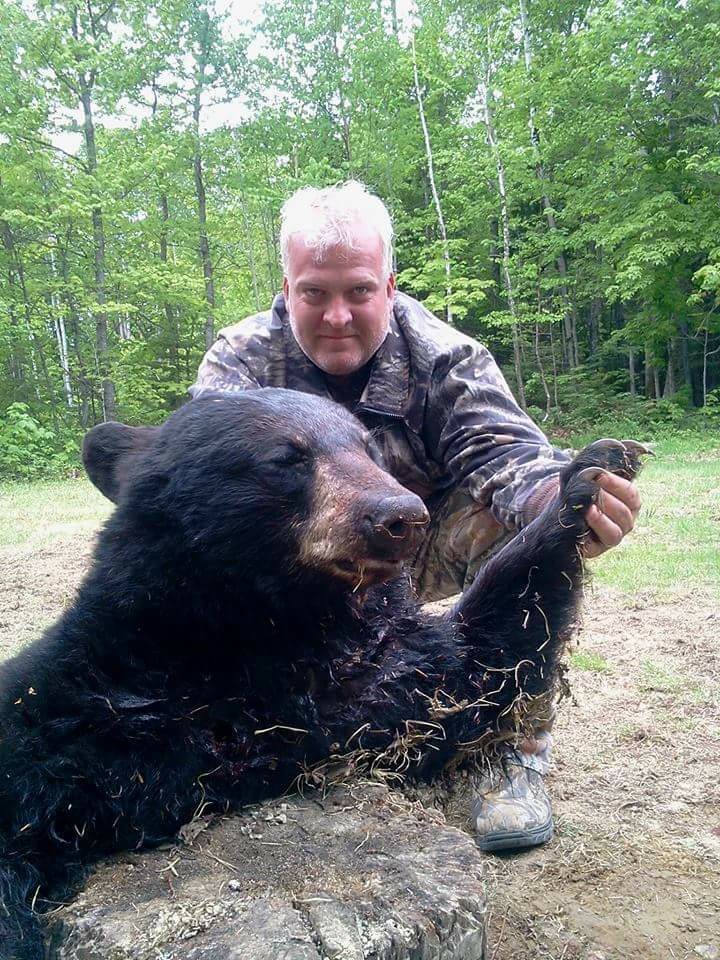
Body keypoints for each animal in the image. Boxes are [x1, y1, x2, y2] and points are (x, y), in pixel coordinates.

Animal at [0, 389, 645, 958]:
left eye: (367, 446)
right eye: (287, 457)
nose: (401, 516)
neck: (272, 634)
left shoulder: (373, 678)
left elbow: (483, 660)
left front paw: (591, 475)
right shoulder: (89, 715)